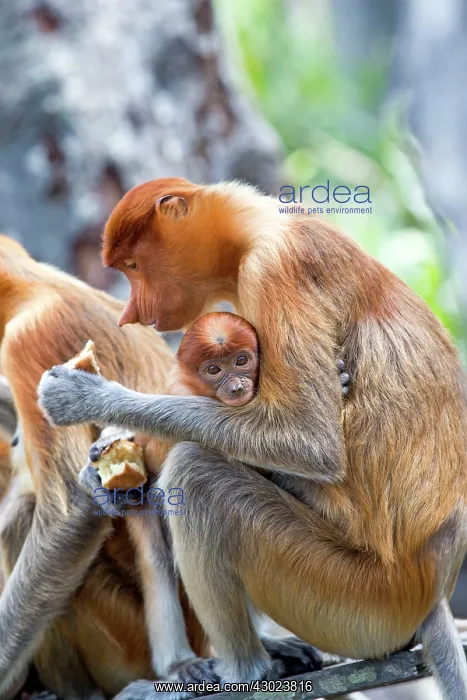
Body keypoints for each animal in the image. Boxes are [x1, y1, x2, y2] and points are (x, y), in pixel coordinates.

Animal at [38, 177, 467, 700]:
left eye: (134, 266)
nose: (130, 312)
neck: (258, 228)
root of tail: (432, 586)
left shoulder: (274, 270)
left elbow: (311, 442)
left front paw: (85, 397)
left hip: (354, 599)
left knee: (198, 474)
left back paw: (245, 670)